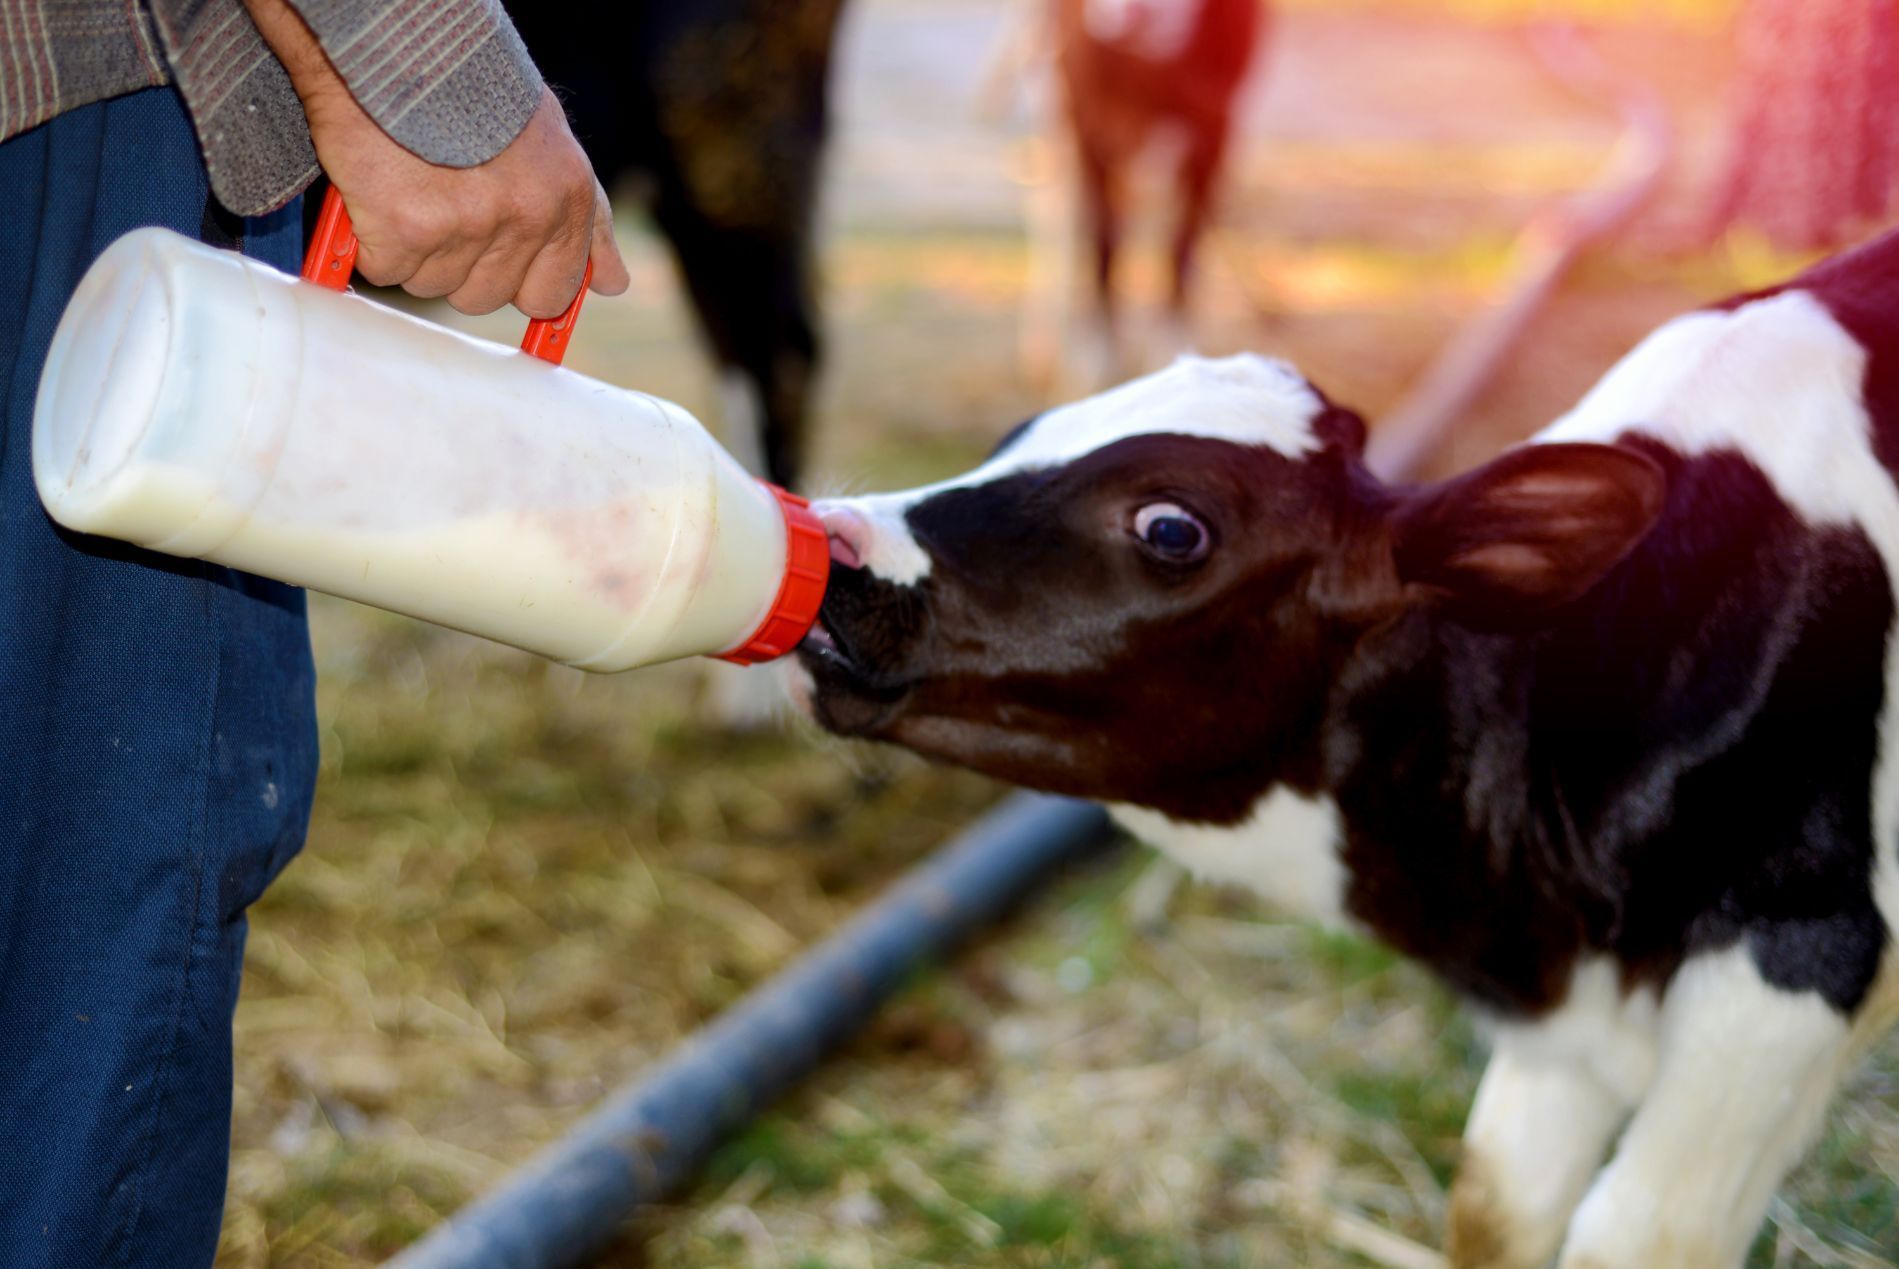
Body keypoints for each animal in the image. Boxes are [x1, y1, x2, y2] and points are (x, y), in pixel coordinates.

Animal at [788, 228, 1899, 1266]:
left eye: (1171, 528)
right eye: (1020, 433)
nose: (837, 541)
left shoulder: (1794, 964)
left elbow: (1637, 1233)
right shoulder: (1555, 1034)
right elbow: (1496, 1206)